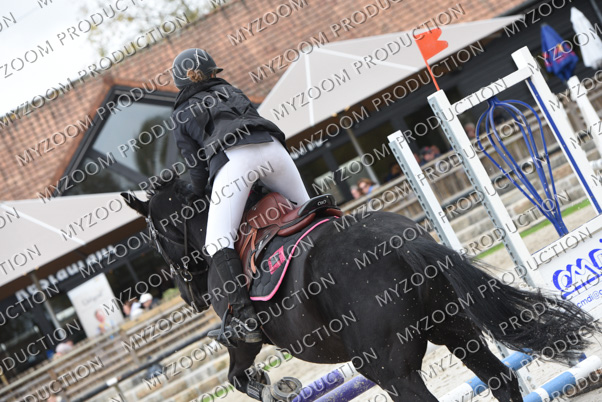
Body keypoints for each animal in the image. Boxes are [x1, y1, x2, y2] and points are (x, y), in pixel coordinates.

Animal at [122, 174, 598, 402]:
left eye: (155, 236)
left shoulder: (242, 336)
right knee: (501, 381)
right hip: (457, 333)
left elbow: (237, 374)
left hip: (387, 369)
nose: (189, 296)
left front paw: (273, 388)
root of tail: (407, 243)